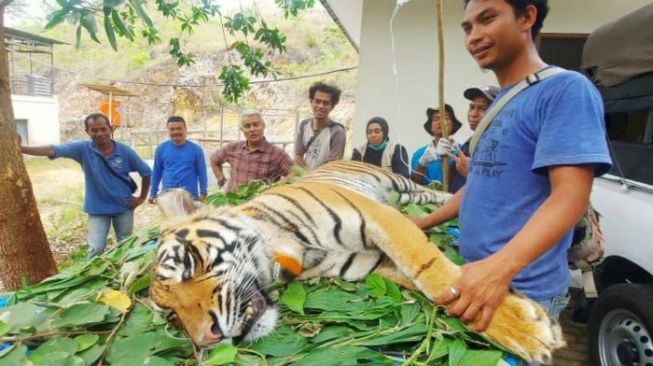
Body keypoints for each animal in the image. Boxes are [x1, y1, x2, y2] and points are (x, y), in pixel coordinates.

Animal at [150, 159, 564, 364]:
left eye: (189, 264)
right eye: (171, 316)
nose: (208, 337)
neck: (296, 253)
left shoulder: (379, 218)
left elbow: (433, 273)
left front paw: (529, 333)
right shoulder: (371, 263)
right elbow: (435, 287)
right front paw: (527, 319)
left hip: (397, 184)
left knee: (427, 190)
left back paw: (450, 195)